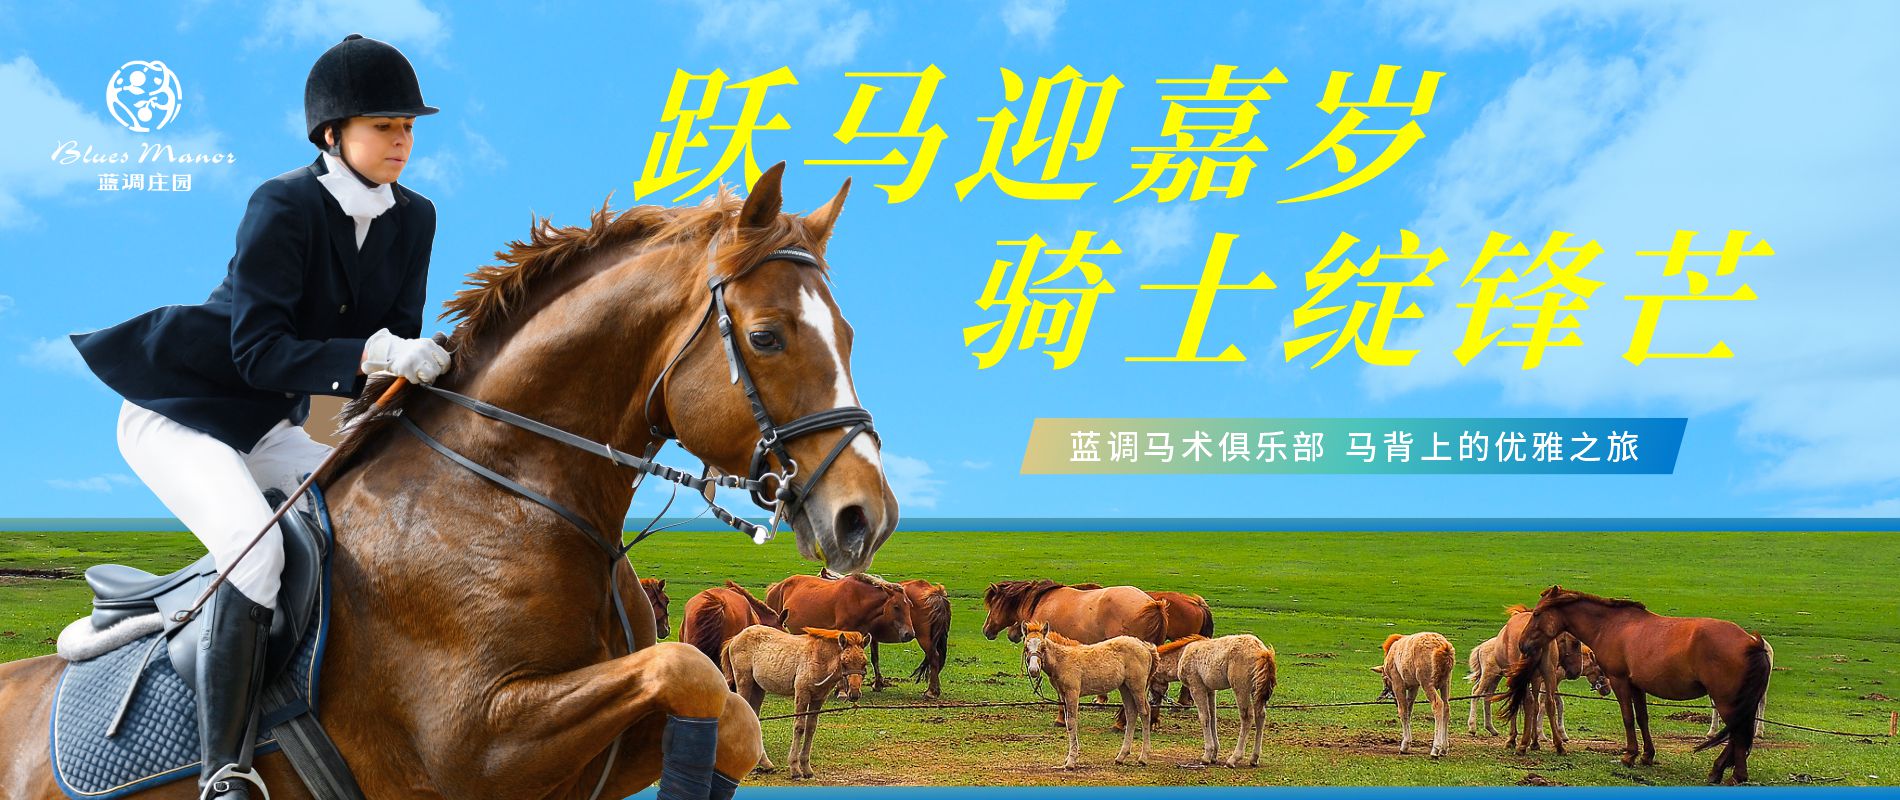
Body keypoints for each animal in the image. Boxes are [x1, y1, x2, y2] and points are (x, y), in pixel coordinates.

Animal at [721, 626, 867, 780]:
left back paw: (765, 763)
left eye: (864, 663)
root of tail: (735, 638)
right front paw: (795, 769)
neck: (819, 657)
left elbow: (811, 728)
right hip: (744, 681)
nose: (854, 694)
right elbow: (799, 727)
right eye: (844, 662)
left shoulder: (818, 698)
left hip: (758, 688)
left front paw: (807, 769)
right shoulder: (802, 693)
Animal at [766, 573, 914, 690]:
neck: (858, 599)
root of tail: (776, 586)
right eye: (896, 607)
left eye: (910, 606)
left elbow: (873, 659)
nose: (909, 634)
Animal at [1020, 621, 1154, 770]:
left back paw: (1143, 758)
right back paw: (1121, 757)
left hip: (1137, 686)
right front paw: (1068, 759)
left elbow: (1071, 722)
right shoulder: (1064, 695)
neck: (1062, 660)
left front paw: (1071, 761)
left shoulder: (1072, 692)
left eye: (1042, 647)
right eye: (1025, 647)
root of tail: (1145, 647)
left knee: (1145, 713)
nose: (1033, 670)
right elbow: (1067, 721)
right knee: (1131, 713)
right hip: (1125, 687)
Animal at [1150, 634, 1276, 767]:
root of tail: (1263, 651)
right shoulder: (1210, 690)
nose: (1152, 702)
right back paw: (1254, 758)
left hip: (1241, 689)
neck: (1181, 655)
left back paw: (1233, 759)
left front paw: (1206, 756)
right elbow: (1212, 718)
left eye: (1151, 680)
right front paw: (1214, 755)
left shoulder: (1197, 688)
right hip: (1256, 691)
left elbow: (1204, 717)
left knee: (1247, 717)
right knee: (1260, 716)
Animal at [1499, 586, 1772, 784]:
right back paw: (1719, 771)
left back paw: (1734, 775)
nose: (1523, 644)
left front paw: (1629, 755)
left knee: (1739, 733)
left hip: (1726, 700)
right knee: (1739, 734)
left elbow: (1628, 718)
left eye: (1537, 614)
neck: (1611, 625)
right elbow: (1642, 718)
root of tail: (1753, 642)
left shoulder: (1620, 682)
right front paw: (1647, 756)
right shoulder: (1638, 686)